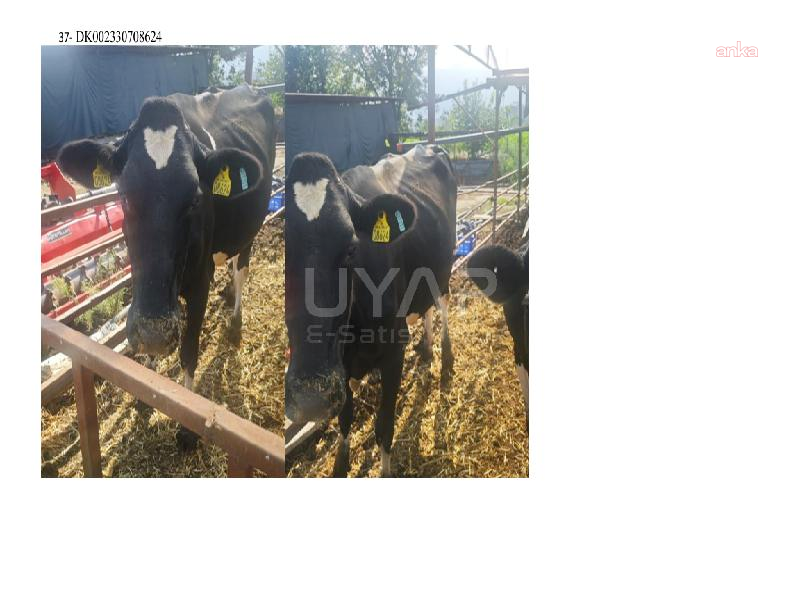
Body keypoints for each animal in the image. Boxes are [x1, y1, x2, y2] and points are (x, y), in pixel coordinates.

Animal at [57, 85, 276, 448]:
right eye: (123, 195)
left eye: (195, 199)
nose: (154, 334)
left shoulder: (199, 283)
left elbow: (188, 351)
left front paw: (188, 429)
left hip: (250, 228)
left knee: (241, 267)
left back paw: (235, 318)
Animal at [284, 144, 457, 477]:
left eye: (352, 248)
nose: (311, 398)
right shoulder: (341, 367)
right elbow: (345, 419)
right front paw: (340, 463)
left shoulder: (393, 351)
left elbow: (384, 426)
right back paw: (427, 346)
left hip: (443, 266)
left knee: (442, 303)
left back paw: (445, 353)